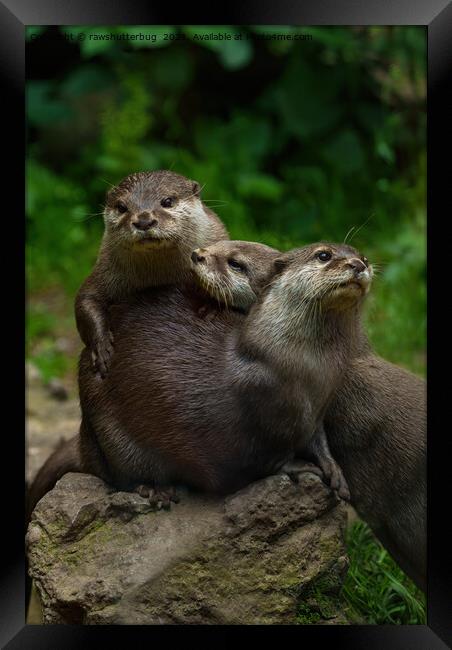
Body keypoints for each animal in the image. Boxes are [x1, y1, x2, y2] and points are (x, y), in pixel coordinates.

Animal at [76, 170, 230, 378]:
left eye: (167, 201)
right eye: (121, 207)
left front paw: (213, 304)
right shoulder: (104, 270)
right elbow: (86, 299)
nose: (143, 220)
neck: (161, 275)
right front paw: (101, 346)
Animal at [76, 240, 370, 498]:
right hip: (107, 425)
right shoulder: (257, 423)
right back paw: (154, 489)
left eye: (363, 256)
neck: (308, 371)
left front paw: (334, 470)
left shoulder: (318, 409)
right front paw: (301, 466)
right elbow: (263, 461)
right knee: (122, 474)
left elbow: (318, 440)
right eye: (324, 255)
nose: (358, 264)